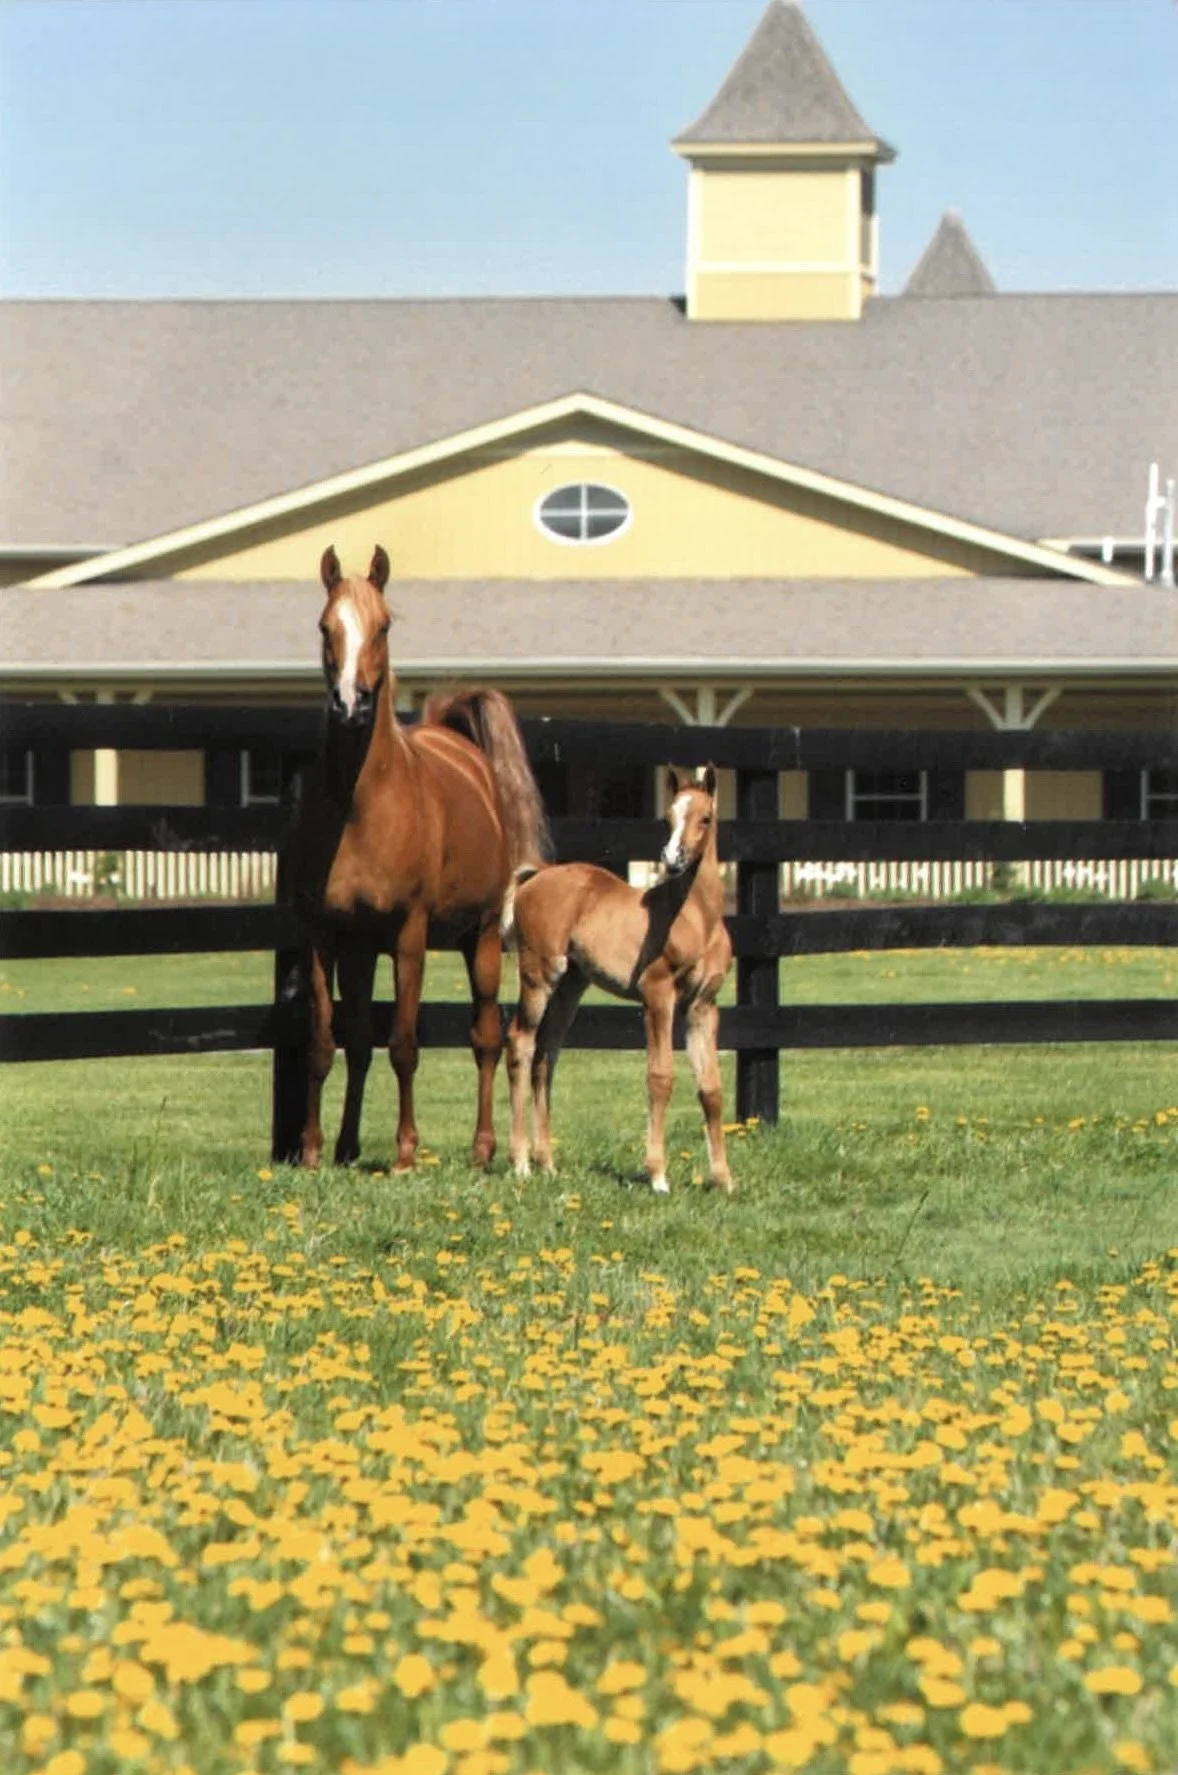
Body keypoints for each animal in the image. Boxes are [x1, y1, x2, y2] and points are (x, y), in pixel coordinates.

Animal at [287, 544, 548, 1172]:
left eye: (383, 625)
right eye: (325, 627)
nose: (351, 703)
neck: (362, 809)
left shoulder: (409, 934)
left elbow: (404, 1044)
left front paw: (405, 1154)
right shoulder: (323, 936)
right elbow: (327, 1044)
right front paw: (313, 1150)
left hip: (479, 938)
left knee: (486, 1037)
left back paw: (483, 1149)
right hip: (363, 952)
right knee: (359, 1042)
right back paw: (347, 1146)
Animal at [502, 765, 734, 1194]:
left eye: (705, 818)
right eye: (669, 817)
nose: (672, 859)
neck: (696, 919)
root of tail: (536, 876)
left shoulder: (702, 1006)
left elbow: (710, 1088)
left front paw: (723, 1179)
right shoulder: (657, 995)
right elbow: (660, 1076)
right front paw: (657, 1175)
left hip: (571, 986)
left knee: (546, 1055)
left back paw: (547, 1163)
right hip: (540, 975)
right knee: (520, 1043)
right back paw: (521, 1162)